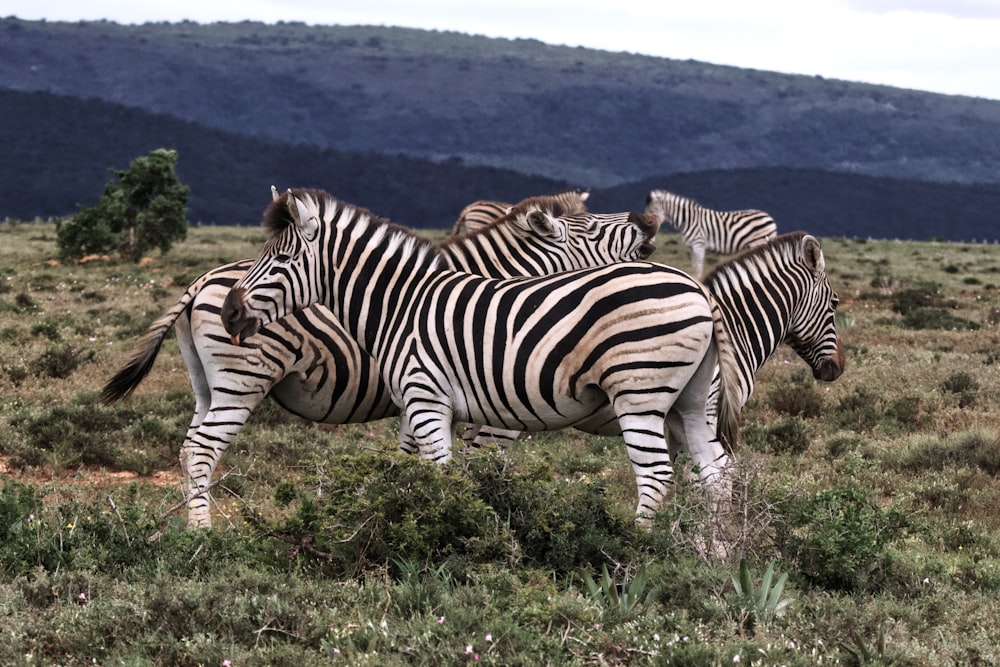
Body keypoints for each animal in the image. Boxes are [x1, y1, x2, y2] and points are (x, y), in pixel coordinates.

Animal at [644, 189, 776, 278]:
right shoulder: (692, 247)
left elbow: (698, 269)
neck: (688, 220)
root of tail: (769, 217)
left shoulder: (698, 244)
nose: (647, 227)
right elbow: (694, 267)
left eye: (651, 211)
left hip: (759, 241)